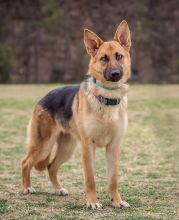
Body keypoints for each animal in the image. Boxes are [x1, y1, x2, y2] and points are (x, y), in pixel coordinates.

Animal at [21, 20, 132, 210]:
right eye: (104, 58)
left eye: (119, 56)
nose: (115, 74)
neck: (107, 100)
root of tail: (45, 96)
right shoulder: (88, 146)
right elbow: (90, 178)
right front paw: (92, 202)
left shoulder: (114, 146)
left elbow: (113, 179)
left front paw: (116, 201)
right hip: (43, 145)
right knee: (26, 162)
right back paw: (27, 188)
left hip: (67, 149)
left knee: (51, 167)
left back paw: (58, 189)